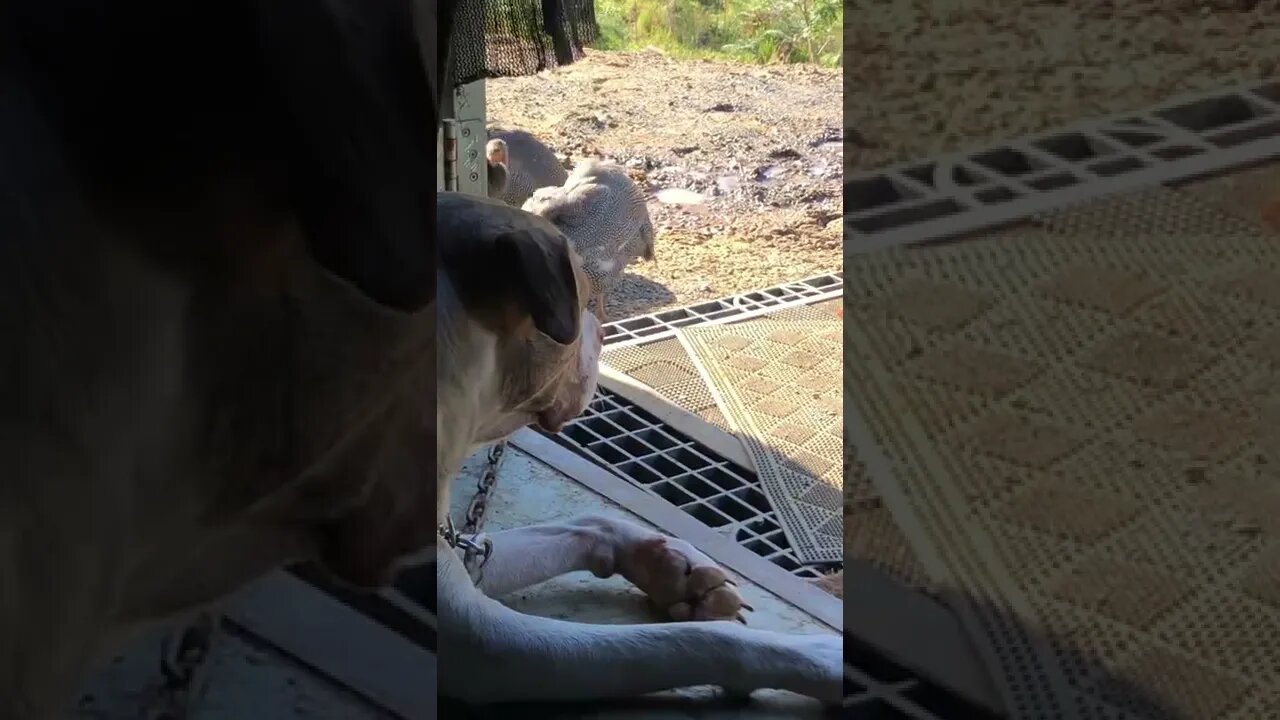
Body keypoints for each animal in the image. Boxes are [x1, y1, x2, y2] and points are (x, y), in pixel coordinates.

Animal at [435, 189, 844, 702]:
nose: (605, 331)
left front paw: (673, 569)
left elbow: (588, 523)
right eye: (585, 300)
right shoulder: (481, 643)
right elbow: (695, 642)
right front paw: (821, 657)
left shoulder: (468, 560)